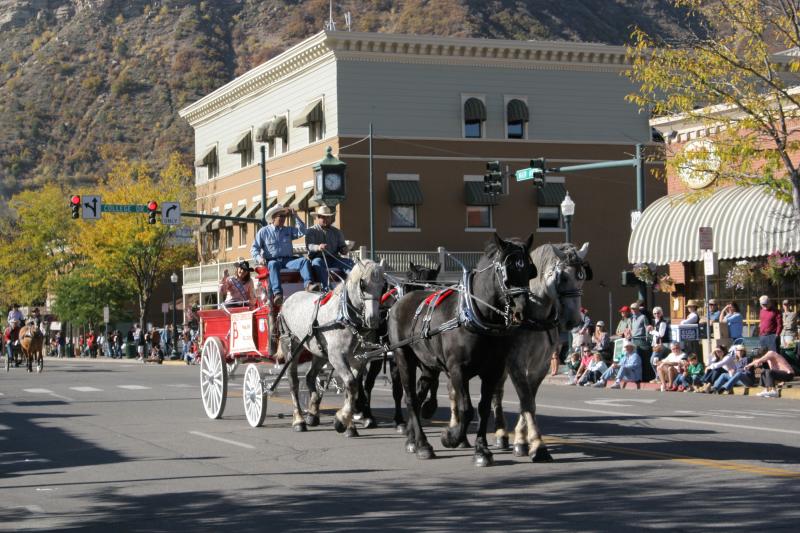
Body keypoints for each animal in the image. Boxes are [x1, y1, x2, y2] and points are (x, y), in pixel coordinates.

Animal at [280, 258, 386, 436]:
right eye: (362, 284)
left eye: (384, 286)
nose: (373, 319)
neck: (345, 317)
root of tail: (288, 299)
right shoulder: (336, 357)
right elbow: (351, 383)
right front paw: (341, 421)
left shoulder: (358, 360)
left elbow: (353, 388)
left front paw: (349, 425)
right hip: (291, 346)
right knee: (293, 381)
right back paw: (299, 420)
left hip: (320, 352)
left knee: (310, 376)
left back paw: (313, 414)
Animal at [358, 260, 440, 430]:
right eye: (415, 286)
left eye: (433, 284)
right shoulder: (397, 356)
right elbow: (397, 389)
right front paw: (400, 420)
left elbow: (432, 380)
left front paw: (429, 406)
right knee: (365, 383)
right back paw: (365, 413)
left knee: (367, 382)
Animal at [390, 233, 536, 466]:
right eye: (506, 272)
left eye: (529, 270)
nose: (522, 311)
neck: (478, 315)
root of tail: (400, 301)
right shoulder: (457, 369)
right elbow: (466, 409)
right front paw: (450, 437)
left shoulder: (492, 371)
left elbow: (483, 409)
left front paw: (482, 450)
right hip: (403, 357)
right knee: (410, 398)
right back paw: (422, 444)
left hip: (428, 364)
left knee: (419, 395)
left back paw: (412, 439)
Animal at [490, 241, 592, 462]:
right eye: (563, 277)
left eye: (581, 277)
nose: (574, 321)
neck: (533, 317)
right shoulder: (516, 363)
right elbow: (527, 401)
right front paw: (538, 446)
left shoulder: (541, 365)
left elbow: (528, 401)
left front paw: (521, 441)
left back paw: (502, 435)